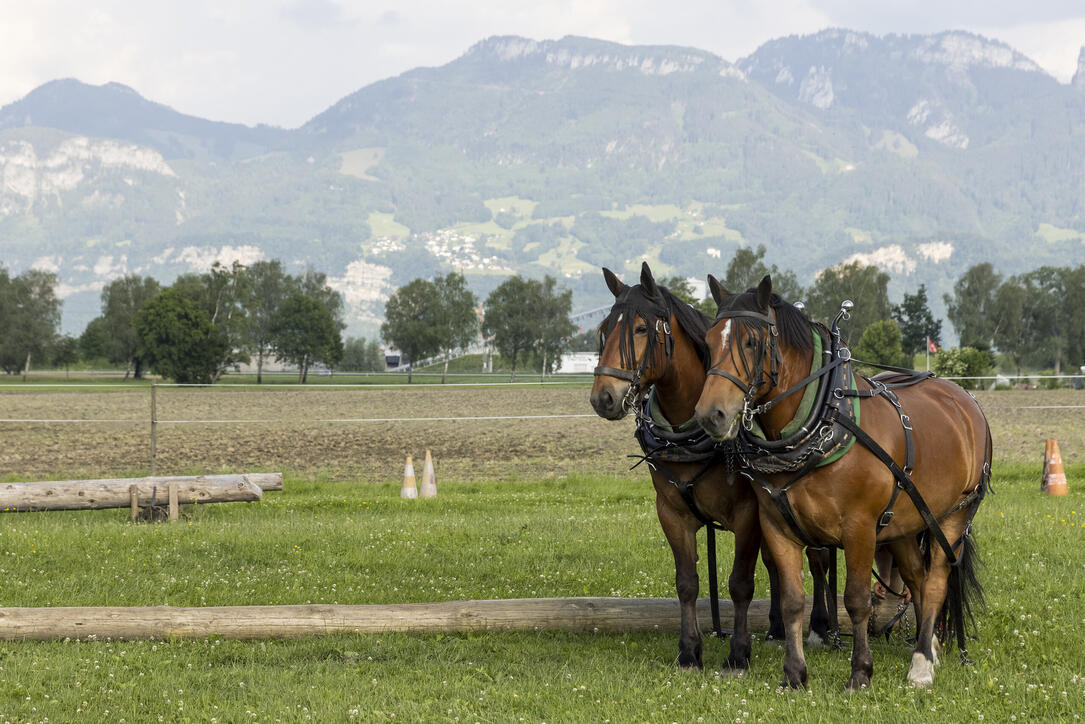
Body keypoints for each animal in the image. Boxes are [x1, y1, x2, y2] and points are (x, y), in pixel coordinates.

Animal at [590, 261, 824, 672]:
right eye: (604, 329)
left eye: (640, 329)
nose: (603, 397)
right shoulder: (671, 511)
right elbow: (687, 582)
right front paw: (689, 651)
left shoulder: (748, 514)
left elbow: (740, 584)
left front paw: (738, 654)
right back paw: (777, 629)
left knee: (816, 560)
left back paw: (822, 629)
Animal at [694, 274, 993, 690]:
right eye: (708, 342)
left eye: (752, 342)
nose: (712, 415)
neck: (824, 420)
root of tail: (964, 398)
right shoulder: (776, 526)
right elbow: (792, 600)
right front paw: (794, 674)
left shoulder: (860, 528)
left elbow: (856, 599)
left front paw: (861, 672)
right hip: (904, 523)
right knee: (916, 578)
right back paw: (929, 645)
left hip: (955, 513)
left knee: (935, 580)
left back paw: (920, 664)